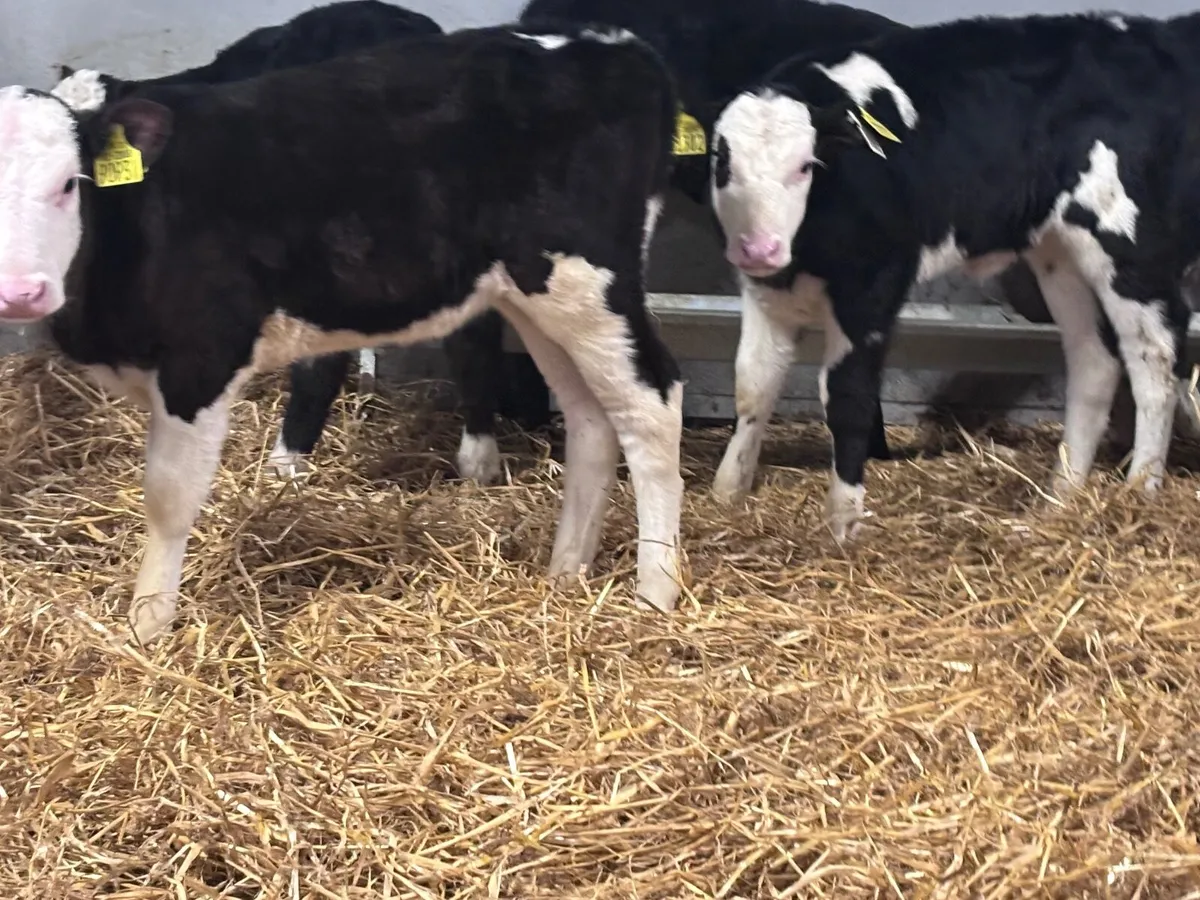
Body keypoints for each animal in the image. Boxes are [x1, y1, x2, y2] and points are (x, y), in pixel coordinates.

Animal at [707, 12, 1200, 539]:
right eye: (722, 163)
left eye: (805, 166)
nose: (759, 247)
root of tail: (1155, 33)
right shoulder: (765, 291)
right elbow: (753, 387)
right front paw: (727, 492)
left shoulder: (874, 285)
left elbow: (847, 397)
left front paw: (844, 520)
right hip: (1060, 252)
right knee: (1095, 361)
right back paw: (1061, 496)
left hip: (1129, 244)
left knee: (1155, 359)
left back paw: (1140, 490)